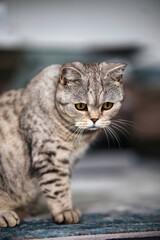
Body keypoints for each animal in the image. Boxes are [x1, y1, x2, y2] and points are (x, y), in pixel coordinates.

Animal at [0, 61, 126, 227]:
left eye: (107, 105)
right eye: (80, 106)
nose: (94, 119)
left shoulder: (70, 161)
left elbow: (64, 184)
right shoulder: (50, 156)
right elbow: (57, 187)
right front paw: (65, 211)